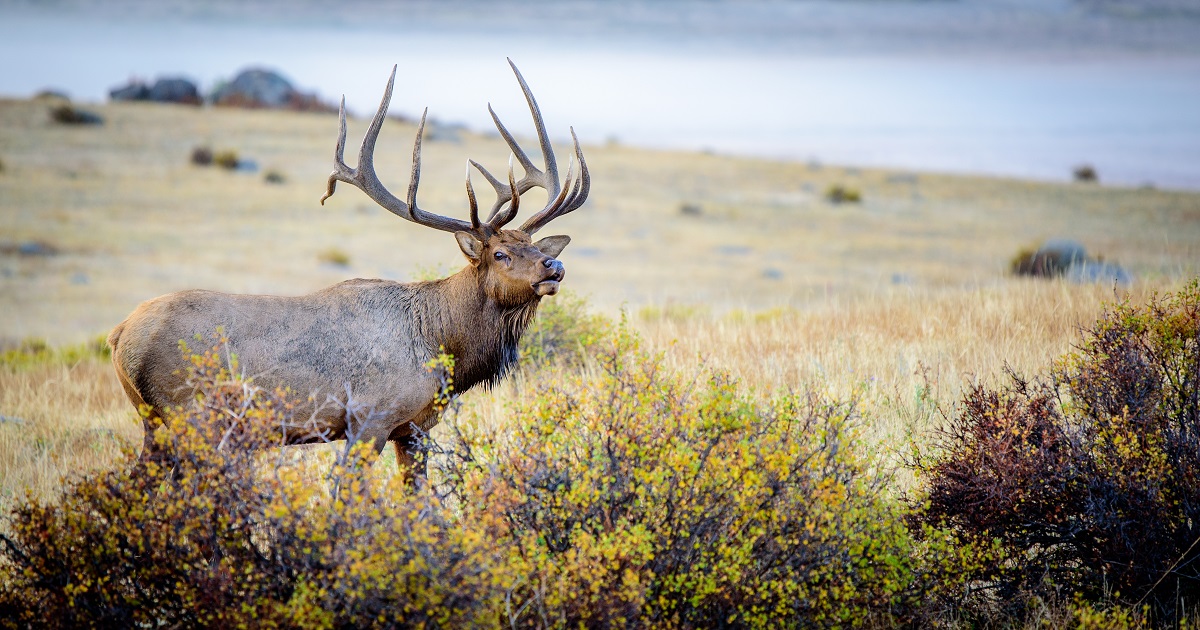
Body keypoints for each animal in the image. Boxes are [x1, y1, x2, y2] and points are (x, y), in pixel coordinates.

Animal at [106, 60, 590, 477]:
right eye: (500, 254)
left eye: (532, 245)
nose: (554, 264)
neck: (442, 343)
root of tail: (119, 334)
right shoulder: (368, 418)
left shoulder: (413, 429)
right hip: (189, 416)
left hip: (156, 423)